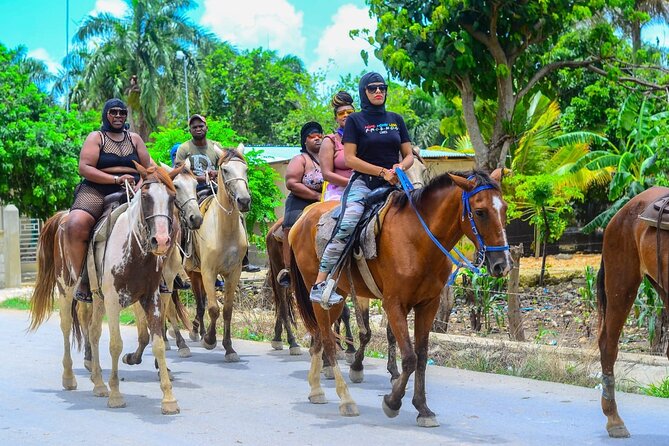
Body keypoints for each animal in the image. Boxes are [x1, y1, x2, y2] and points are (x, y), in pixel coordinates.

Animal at [288, 169, 512, 426]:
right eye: (480, 211)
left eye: (504, 208)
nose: (502, 265)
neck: (418, 241)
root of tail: (302, 219)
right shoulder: (394, 304)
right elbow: (409, 358)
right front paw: (392, 402)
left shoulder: (428, 305)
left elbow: (421, 357)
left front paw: (423, 409)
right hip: (319, 294)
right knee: (327, 341)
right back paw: (346, 400)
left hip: (339, 296)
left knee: (317, 338)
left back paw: (316, 389)